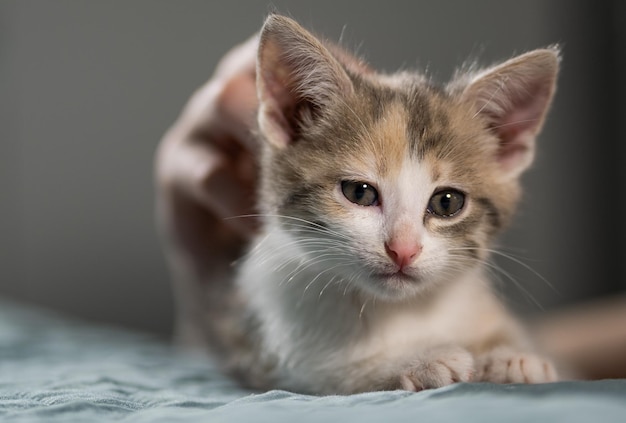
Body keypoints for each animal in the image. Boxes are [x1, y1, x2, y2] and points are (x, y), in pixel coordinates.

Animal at [218, 14, 556, 394]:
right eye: (359, 193)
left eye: (447, 202)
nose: (403, 250)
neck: (399, 308)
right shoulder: (257, 347)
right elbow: (330, 374)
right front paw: (419, 360)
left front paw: (511, 358)